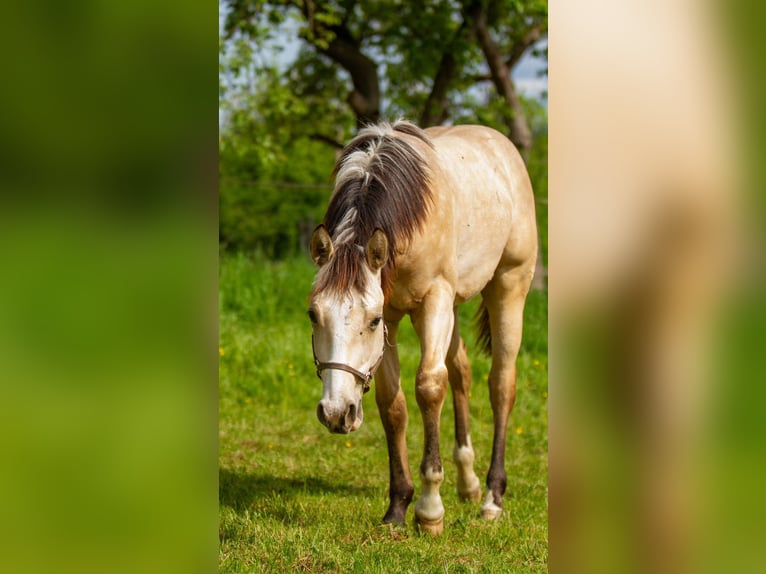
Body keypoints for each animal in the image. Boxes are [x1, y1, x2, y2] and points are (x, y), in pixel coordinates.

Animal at [308, 118, 540, 536]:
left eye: (371, 320)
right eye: (313, 315)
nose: (336, 413)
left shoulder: (430, 302)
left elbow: (429, 388)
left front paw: (430, 511)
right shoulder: (396, 314)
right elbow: (393, 404)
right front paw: (398, 505)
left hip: (508, 286)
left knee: (501, 384)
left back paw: (491, 499)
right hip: (455, 307)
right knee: (461, 372)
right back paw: (468, 483)